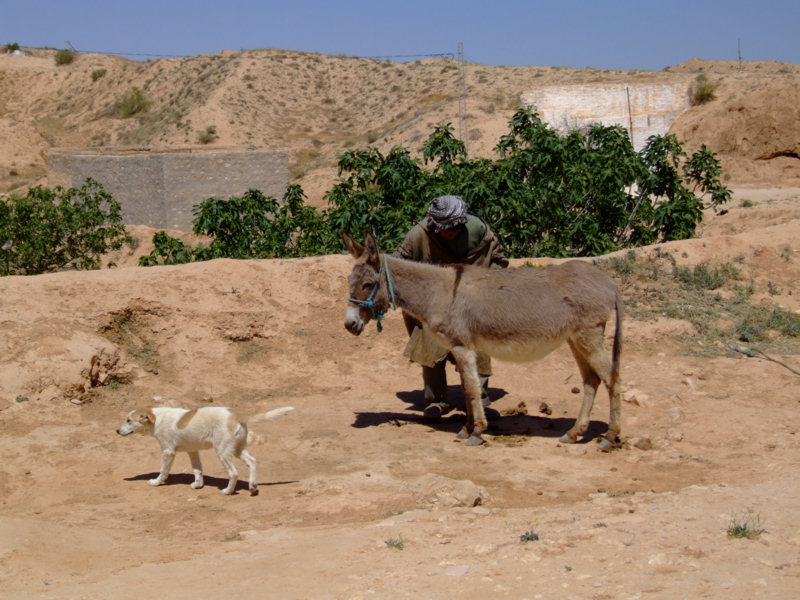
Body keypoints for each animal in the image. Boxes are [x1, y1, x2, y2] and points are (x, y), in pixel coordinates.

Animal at [115, 406, 294, 494]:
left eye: (128, 420)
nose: (117, 431)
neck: (156, 419)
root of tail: (236, 416)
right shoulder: (193, 451)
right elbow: (197, 470)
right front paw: (198, 484)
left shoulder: (168, 452)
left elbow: (163, 471)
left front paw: (156, 482)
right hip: (238, 449)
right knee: (252, 461)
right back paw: (253, 486)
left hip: (222, 451)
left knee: (234, 473)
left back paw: (228, 491)